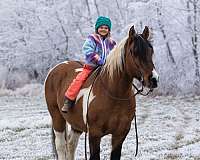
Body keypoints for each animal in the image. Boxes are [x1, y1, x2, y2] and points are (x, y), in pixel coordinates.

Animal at [44, 25, 159, 159]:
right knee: (61, 146)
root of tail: (54, 69)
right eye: (134, 52)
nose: (153, 79)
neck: (114, 94)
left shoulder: (120, 134)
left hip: (76, 124)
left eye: (151, 51)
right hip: (57, 118)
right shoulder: (94, 134)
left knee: (71, 145)